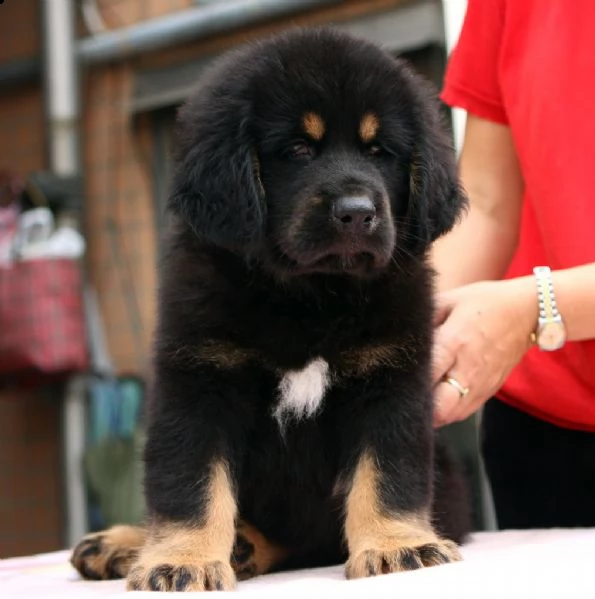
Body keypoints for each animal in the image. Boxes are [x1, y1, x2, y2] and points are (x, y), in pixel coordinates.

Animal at [71, 27, 470, 592]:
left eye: (380, 151)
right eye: (298, 149)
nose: (357, 213)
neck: (309, 296)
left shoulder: (391, 379)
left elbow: (387, 473)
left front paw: (398, 546)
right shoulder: (199, 382)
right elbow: (190, 483)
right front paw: (183, 560)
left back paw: (235, 546)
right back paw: (129, 545)